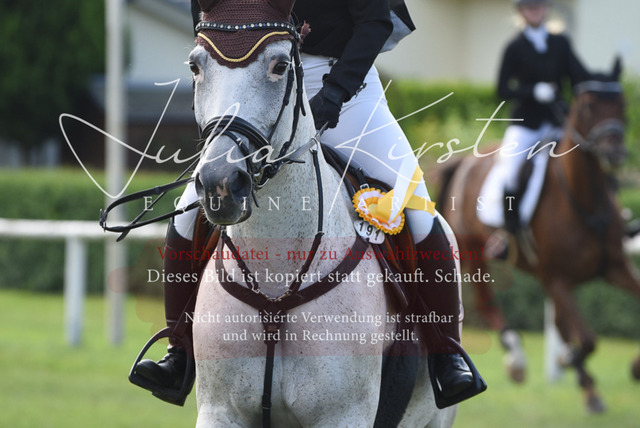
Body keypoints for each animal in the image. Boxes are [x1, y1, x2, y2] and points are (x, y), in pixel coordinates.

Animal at [187, 2, 457, 427]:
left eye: (280, 65)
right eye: (195, 66)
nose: (220, 184)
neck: (275, 280)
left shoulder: (342, 414)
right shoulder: (220, 411)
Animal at [438, 58, 640, 413]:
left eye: (622, 102)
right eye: (587, 106)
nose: (614, 153)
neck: (584, 199)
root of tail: (464, 163)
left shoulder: (615, 268)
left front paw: (632, 368)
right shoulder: (557, 279)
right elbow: (588, 339)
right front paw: (568, 359)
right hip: (474, 252)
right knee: (487, 303)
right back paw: (518, 361)